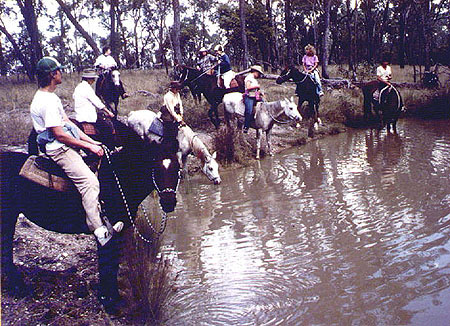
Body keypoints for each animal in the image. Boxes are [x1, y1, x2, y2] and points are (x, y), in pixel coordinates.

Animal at [1, 119, 181, 314]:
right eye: (154, 166)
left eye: (177, 167)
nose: (169, 202)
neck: (118, 178)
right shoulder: (107, 230)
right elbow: (107, 263)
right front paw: (108, 301)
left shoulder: (120, 230)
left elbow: (113, 263)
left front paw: (113, 298)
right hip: (7, 217)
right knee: (6, 250)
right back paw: (17, 288)